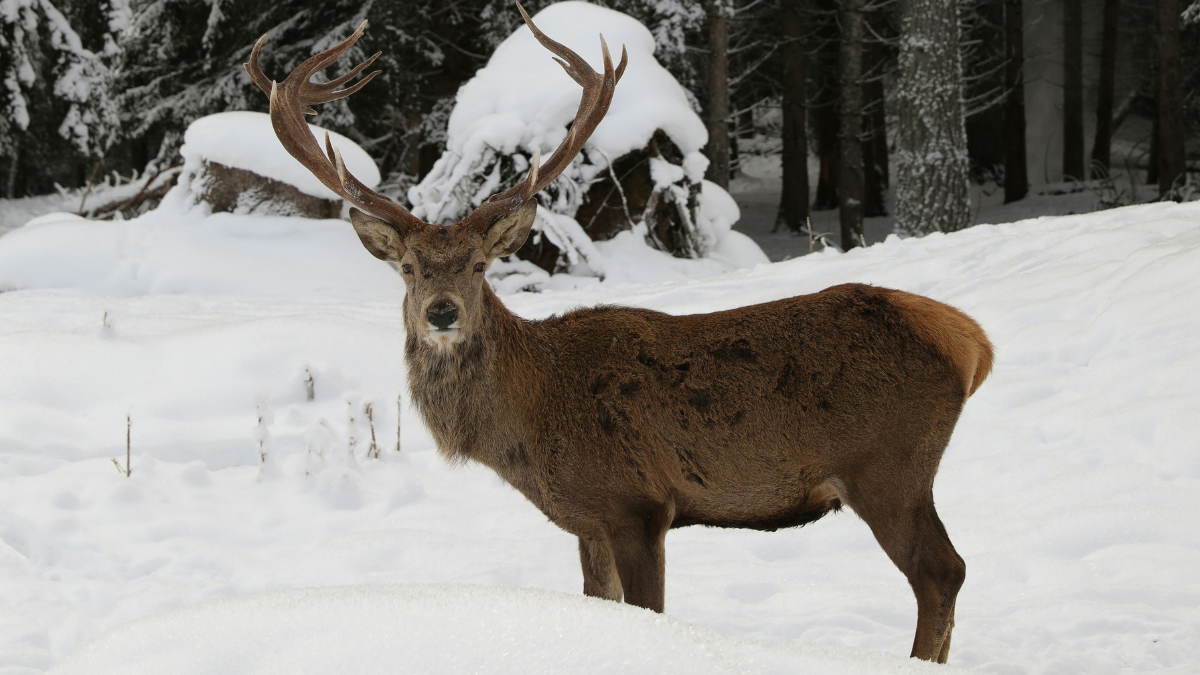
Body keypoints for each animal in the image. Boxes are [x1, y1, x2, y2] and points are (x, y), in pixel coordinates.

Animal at [246, 2, 993, 658]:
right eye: (406, 268)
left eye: (480, 264)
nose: (442, 311)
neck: (529, 418)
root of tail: (971, 342)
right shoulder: (589, 520)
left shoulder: (639, 503)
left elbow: (651, 611)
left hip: (888, 462)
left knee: (943, 571)